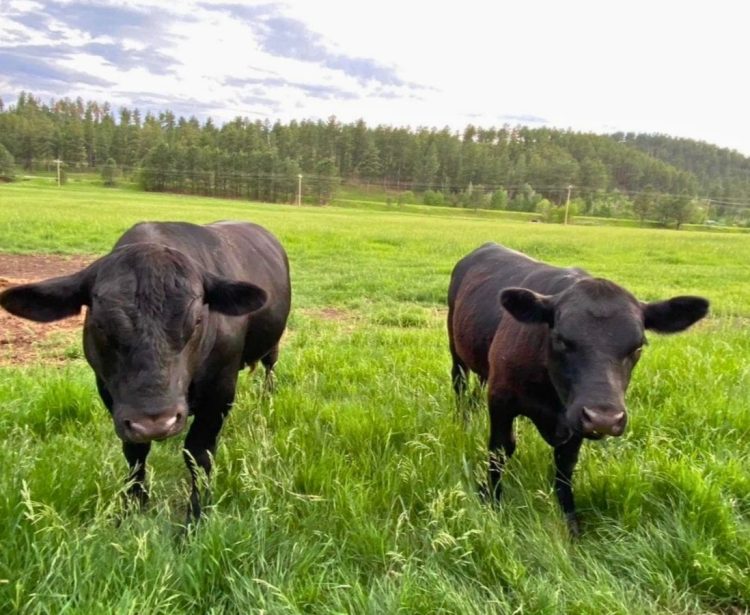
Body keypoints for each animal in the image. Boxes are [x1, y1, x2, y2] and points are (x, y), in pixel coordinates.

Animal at [0, 221, 291, 521]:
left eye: (197, 320)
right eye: (100, 324)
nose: (155, 422)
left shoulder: (220, 389)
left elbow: (198, 453)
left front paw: (197, 514)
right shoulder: (111, 394)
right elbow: (135, 451)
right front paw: (134, 505)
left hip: (273, 345)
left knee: (270, 367)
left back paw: (267, 397)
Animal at [447, 242, 708, 535]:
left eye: (638, 346)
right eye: (561, 339)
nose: (604, 418)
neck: (554, 401)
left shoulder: (576, 420)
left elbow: (566, 464)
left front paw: (570, 521)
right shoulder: (501, 399)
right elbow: (500, 450)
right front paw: (491, 502)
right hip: (455, 348)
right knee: (460, 384)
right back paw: (462, 420)